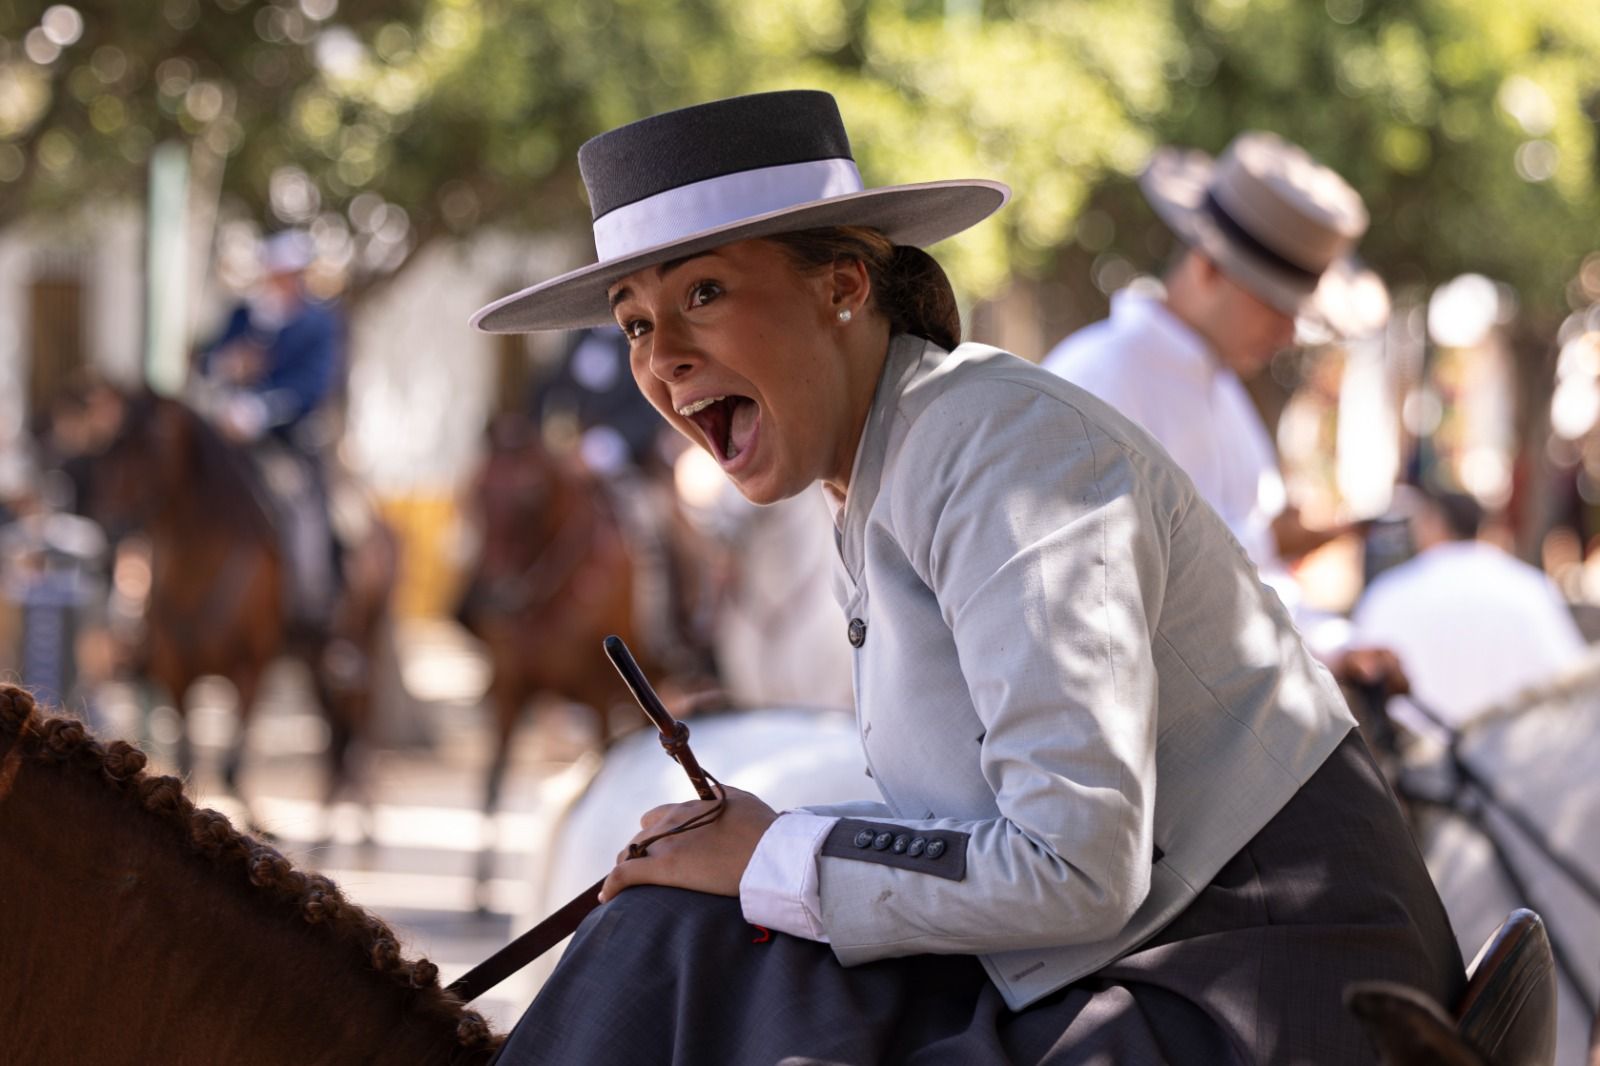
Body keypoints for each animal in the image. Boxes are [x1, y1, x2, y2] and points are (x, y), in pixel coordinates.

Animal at [79, 388, 398, 819]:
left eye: (152, 443)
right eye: (110, 444)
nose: (108, 522)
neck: (198, 565)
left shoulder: (250, 670)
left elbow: (231, 770)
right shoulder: (175, 675)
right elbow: (188, 761)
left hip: (365, 640)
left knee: (359, 724)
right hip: (314, 659)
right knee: (336, 735)